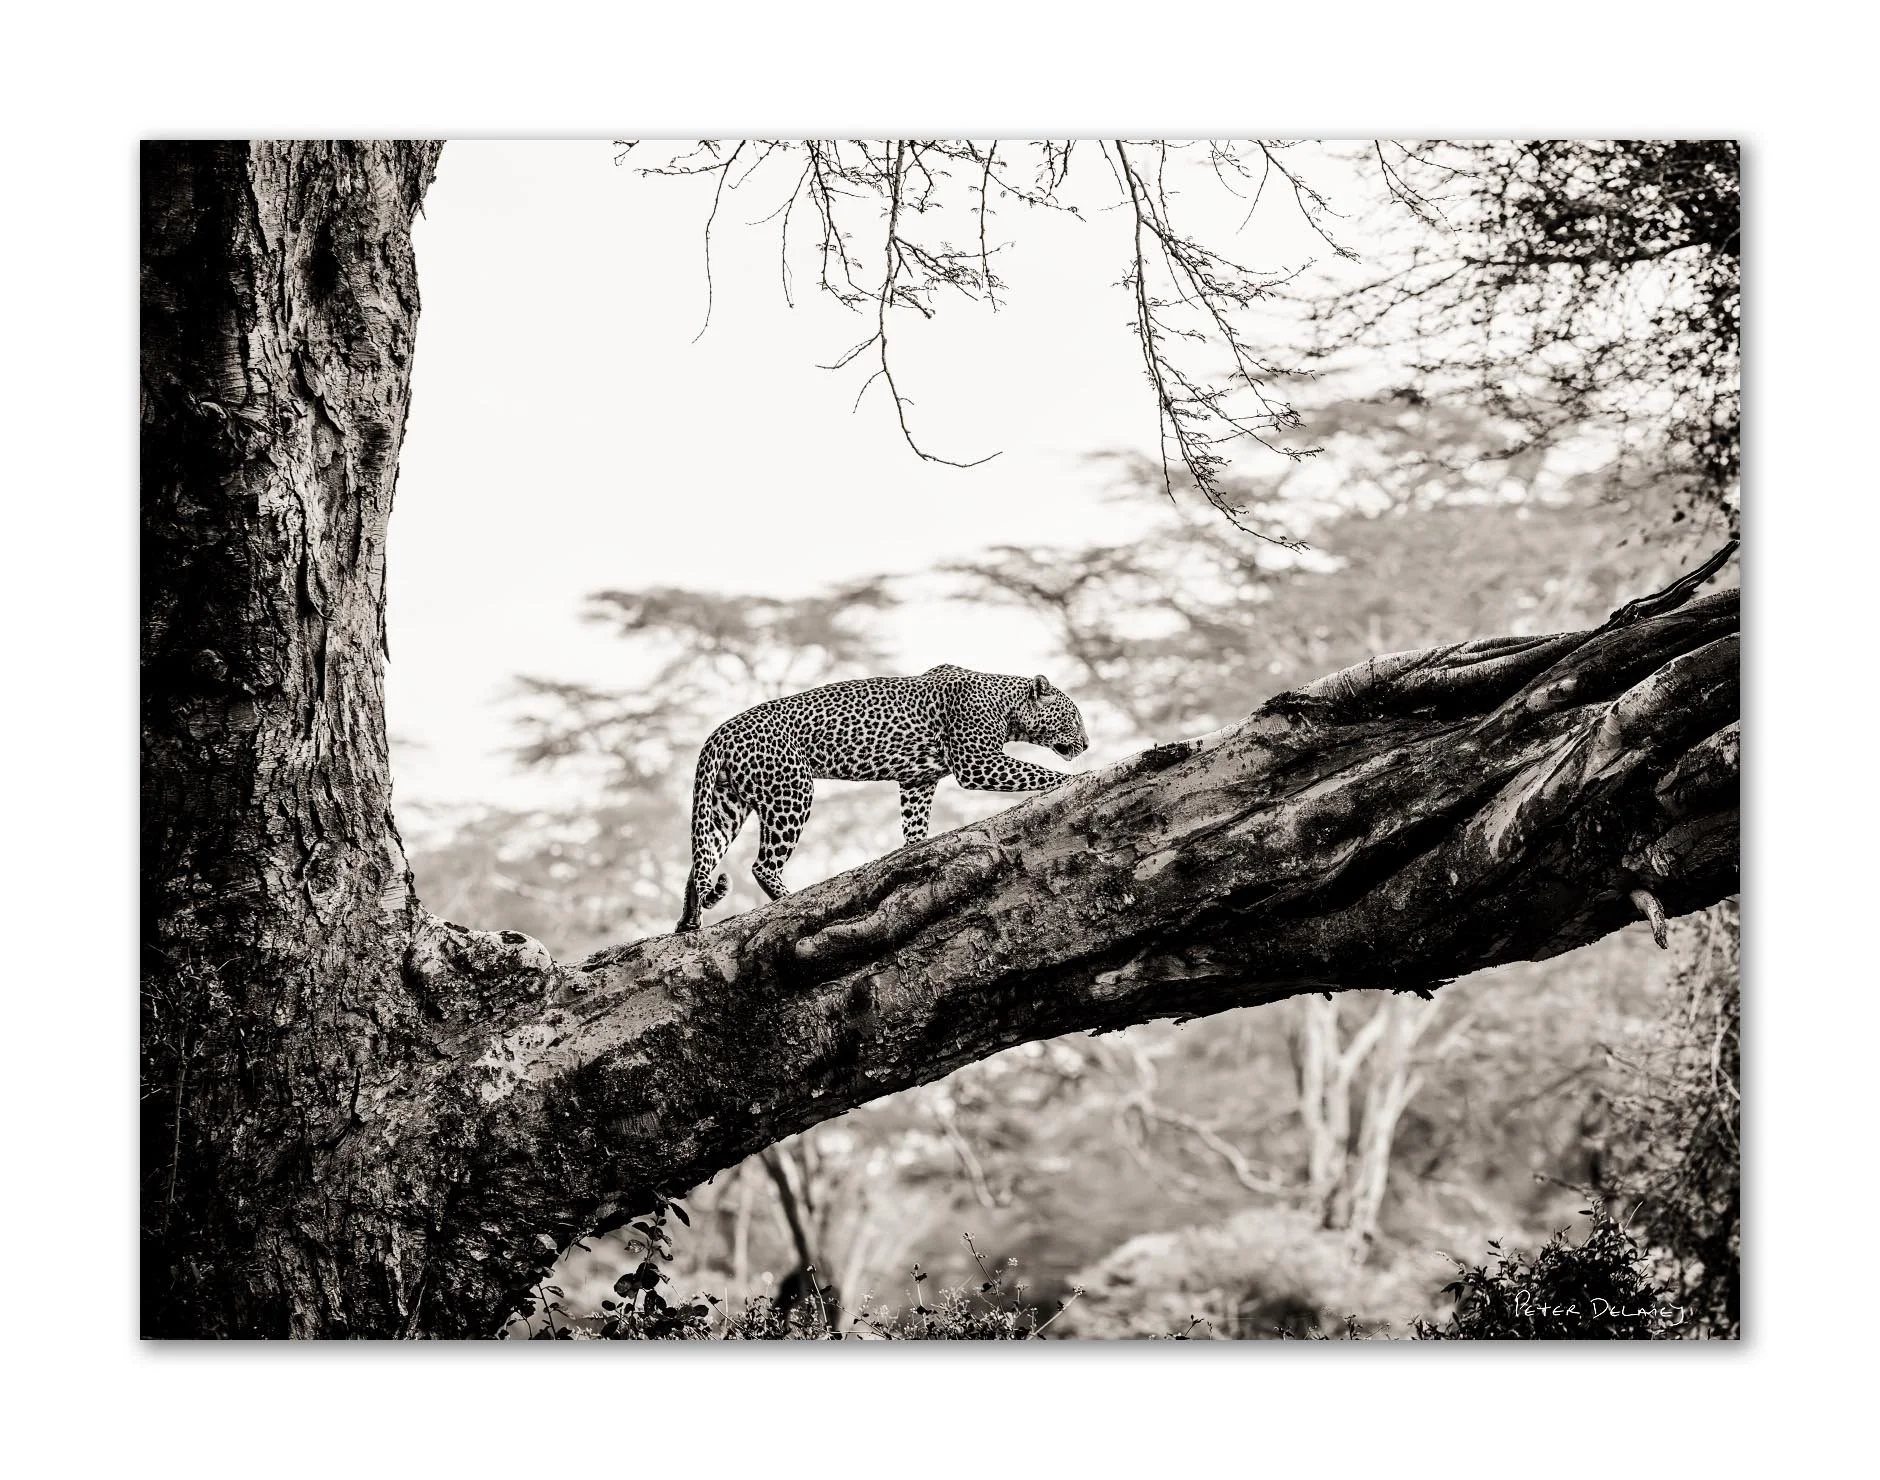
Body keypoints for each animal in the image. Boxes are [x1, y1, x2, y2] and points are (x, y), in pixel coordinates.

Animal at [675, 664, 1089, 932]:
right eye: (1075, 717)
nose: (1086, 745)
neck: (1007, 705)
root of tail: (719, 733)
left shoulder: (918, 780)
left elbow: (915, 825)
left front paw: (915, 850)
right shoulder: (977, 762)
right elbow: (1037, 772)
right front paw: (1079, 776)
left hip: (726, 804)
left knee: (701, 862)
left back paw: (689, 921)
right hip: (791, 792)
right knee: (761, 865)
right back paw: (786, 899)